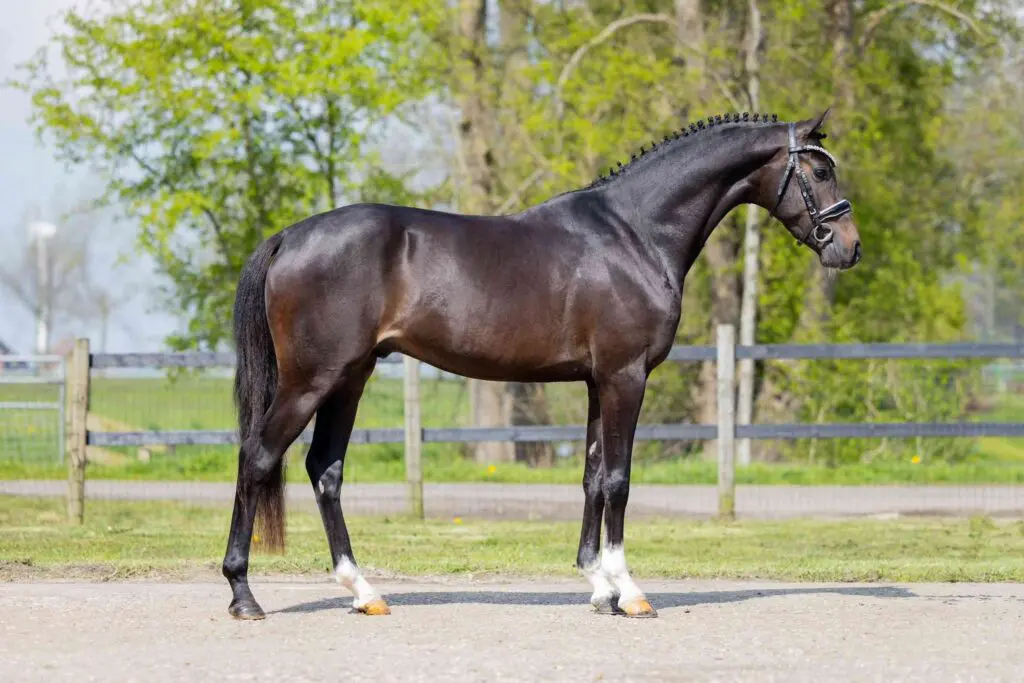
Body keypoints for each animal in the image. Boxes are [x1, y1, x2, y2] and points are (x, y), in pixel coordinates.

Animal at [222, 108, 860, 620]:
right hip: (311, 381)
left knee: (325, 471)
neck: (635, 233)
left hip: (350, 379)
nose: (849, 247)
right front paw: (629, 592)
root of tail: (289, 236)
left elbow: (593, 477)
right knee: (258, 457)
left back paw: (364, 592)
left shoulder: (598, 382)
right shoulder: (626, 377)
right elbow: (619, 480)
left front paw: (599, 587)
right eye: (819, 171)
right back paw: (244, 595)